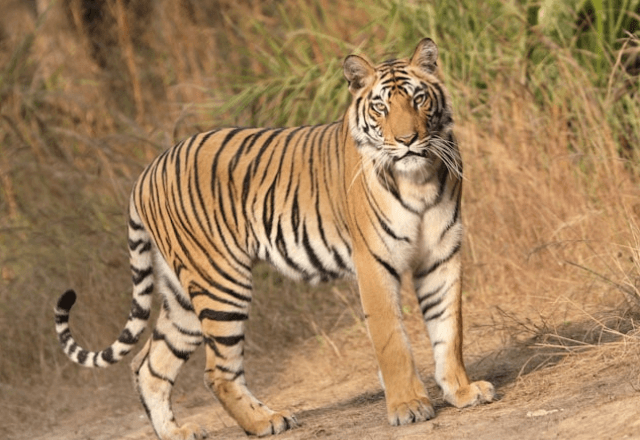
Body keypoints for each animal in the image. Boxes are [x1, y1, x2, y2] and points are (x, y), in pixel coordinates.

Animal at [54, 38, 495, 440]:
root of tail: (145, 173)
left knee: (148, 365)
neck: (419, 179)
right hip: (220, 283)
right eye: (380, 107)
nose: (407, 141)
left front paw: (462, 391)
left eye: (419, 99)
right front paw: (408, 407)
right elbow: (392, 341)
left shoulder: (441, 256)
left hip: (182, 296)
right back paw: (266, 421)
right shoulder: (374, 262)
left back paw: (178, 432)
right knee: (216, 371)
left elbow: (449, 329)